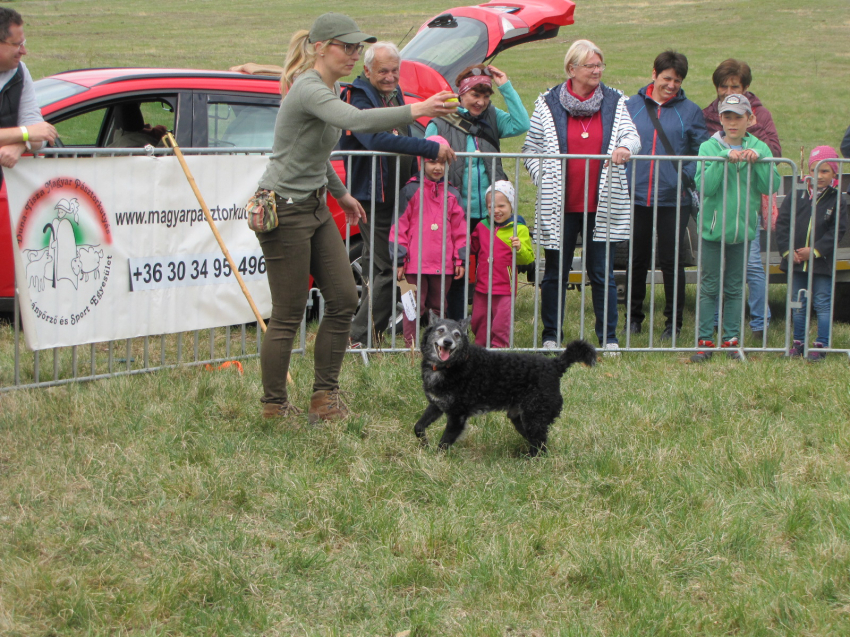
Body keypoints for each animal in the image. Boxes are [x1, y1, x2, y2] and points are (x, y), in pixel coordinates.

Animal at [412, 310, 596, 454]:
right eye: (440, 330)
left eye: (457, 334)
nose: (448, 342)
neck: (453, 365)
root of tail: (555, 364)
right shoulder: (437, 405)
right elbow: (418, 427)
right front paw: (425, 445)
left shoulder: (458, 415)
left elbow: (443, 444)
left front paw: (436, 459)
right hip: (520, 418)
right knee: (539, 443)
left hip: (534, 417)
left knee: (540, 446)